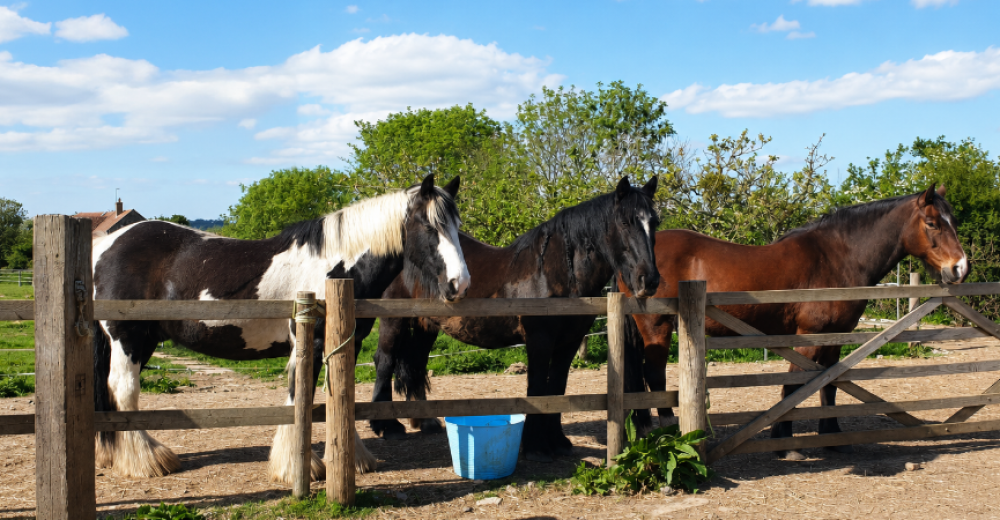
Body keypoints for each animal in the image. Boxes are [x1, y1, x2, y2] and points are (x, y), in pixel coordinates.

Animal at [91, 175, 470, 483]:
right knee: (125, 390)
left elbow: (337, 395)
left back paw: (114, 455)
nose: (460, 284)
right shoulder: (309, 342)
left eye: (457, 225)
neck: (335, 268)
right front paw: (297, 467)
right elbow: (298, 396)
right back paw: (147, 460)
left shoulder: (345, 343)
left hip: (144, 341)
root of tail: (105, 245)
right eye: (429, 225)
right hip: (127, 337)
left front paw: (351, 459)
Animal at [366, 176, 661, 462]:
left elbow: (557, 387)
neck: (554, 272)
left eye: (655, 223)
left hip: (425, 325)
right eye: (625, 222)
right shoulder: (540, 341)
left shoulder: (569, 342)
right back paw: (387, 426)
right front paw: (535, 446)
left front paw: (558, 442)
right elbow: (537, 387)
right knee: (385, 360)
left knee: (415, 363)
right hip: (394, 321)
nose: (649, 280)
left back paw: (425, 421)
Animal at [620, 185, 969, 459]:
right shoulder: (808, 336)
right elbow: (794, 386)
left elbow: (829, 384)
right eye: (932, 223)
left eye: (953, 221)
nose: (960, 269)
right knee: (655, 375)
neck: (838, 258)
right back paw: (666, 433)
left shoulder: (835, 336)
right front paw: (785, 442)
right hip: (656, 326)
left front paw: (832, 436)